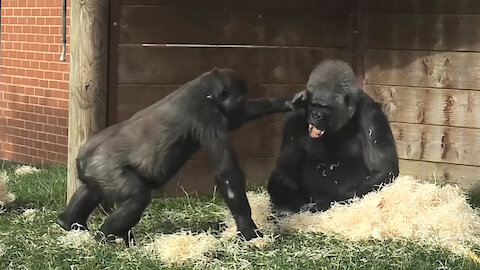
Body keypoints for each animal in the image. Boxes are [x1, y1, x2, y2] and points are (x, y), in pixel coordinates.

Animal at [58, 68, 294, 246]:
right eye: (240, 97)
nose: (242, 102)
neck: (205, 90)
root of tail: (83, 156)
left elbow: (239, 118)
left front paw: (289, 102)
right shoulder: (208, 115)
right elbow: (227, 174)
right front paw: (248, 229)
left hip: (92, 169)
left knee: (91, 190)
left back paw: (70, 223)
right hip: (105, 167)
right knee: (136, 197)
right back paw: (106, 237)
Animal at [268, 59, 400, 213]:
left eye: (324, 107)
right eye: (313, 105)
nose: (315, 115)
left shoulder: (371, 115)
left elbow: (383, 170)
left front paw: (323, 203)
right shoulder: (294, 119)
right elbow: (285, 169)